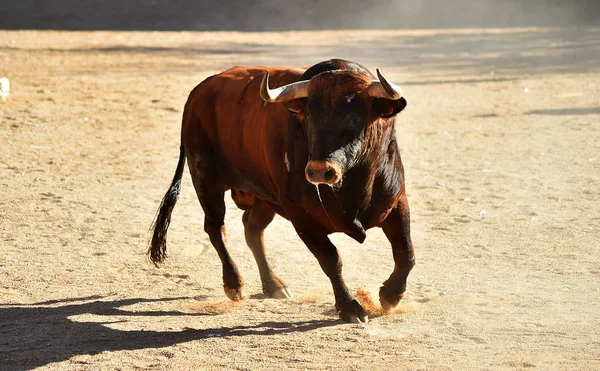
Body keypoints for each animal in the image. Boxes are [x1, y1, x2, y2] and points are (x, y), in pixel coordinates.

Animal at [148, 58, 414, 326]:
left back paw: (273, 285)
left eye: (355, 116)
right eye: (309, 117)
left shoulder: (397, 203)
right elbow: (331, 259)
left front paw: (391, 295)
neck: (353, 186)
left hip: (263, 198)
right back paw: (235, 284)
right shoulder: (301, 217)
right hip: (206, 180)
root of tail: (199, 92)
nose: (319, 171)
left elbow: (406, 252)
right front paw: (349, 306)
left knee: (252, 230)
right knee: (216, 228)